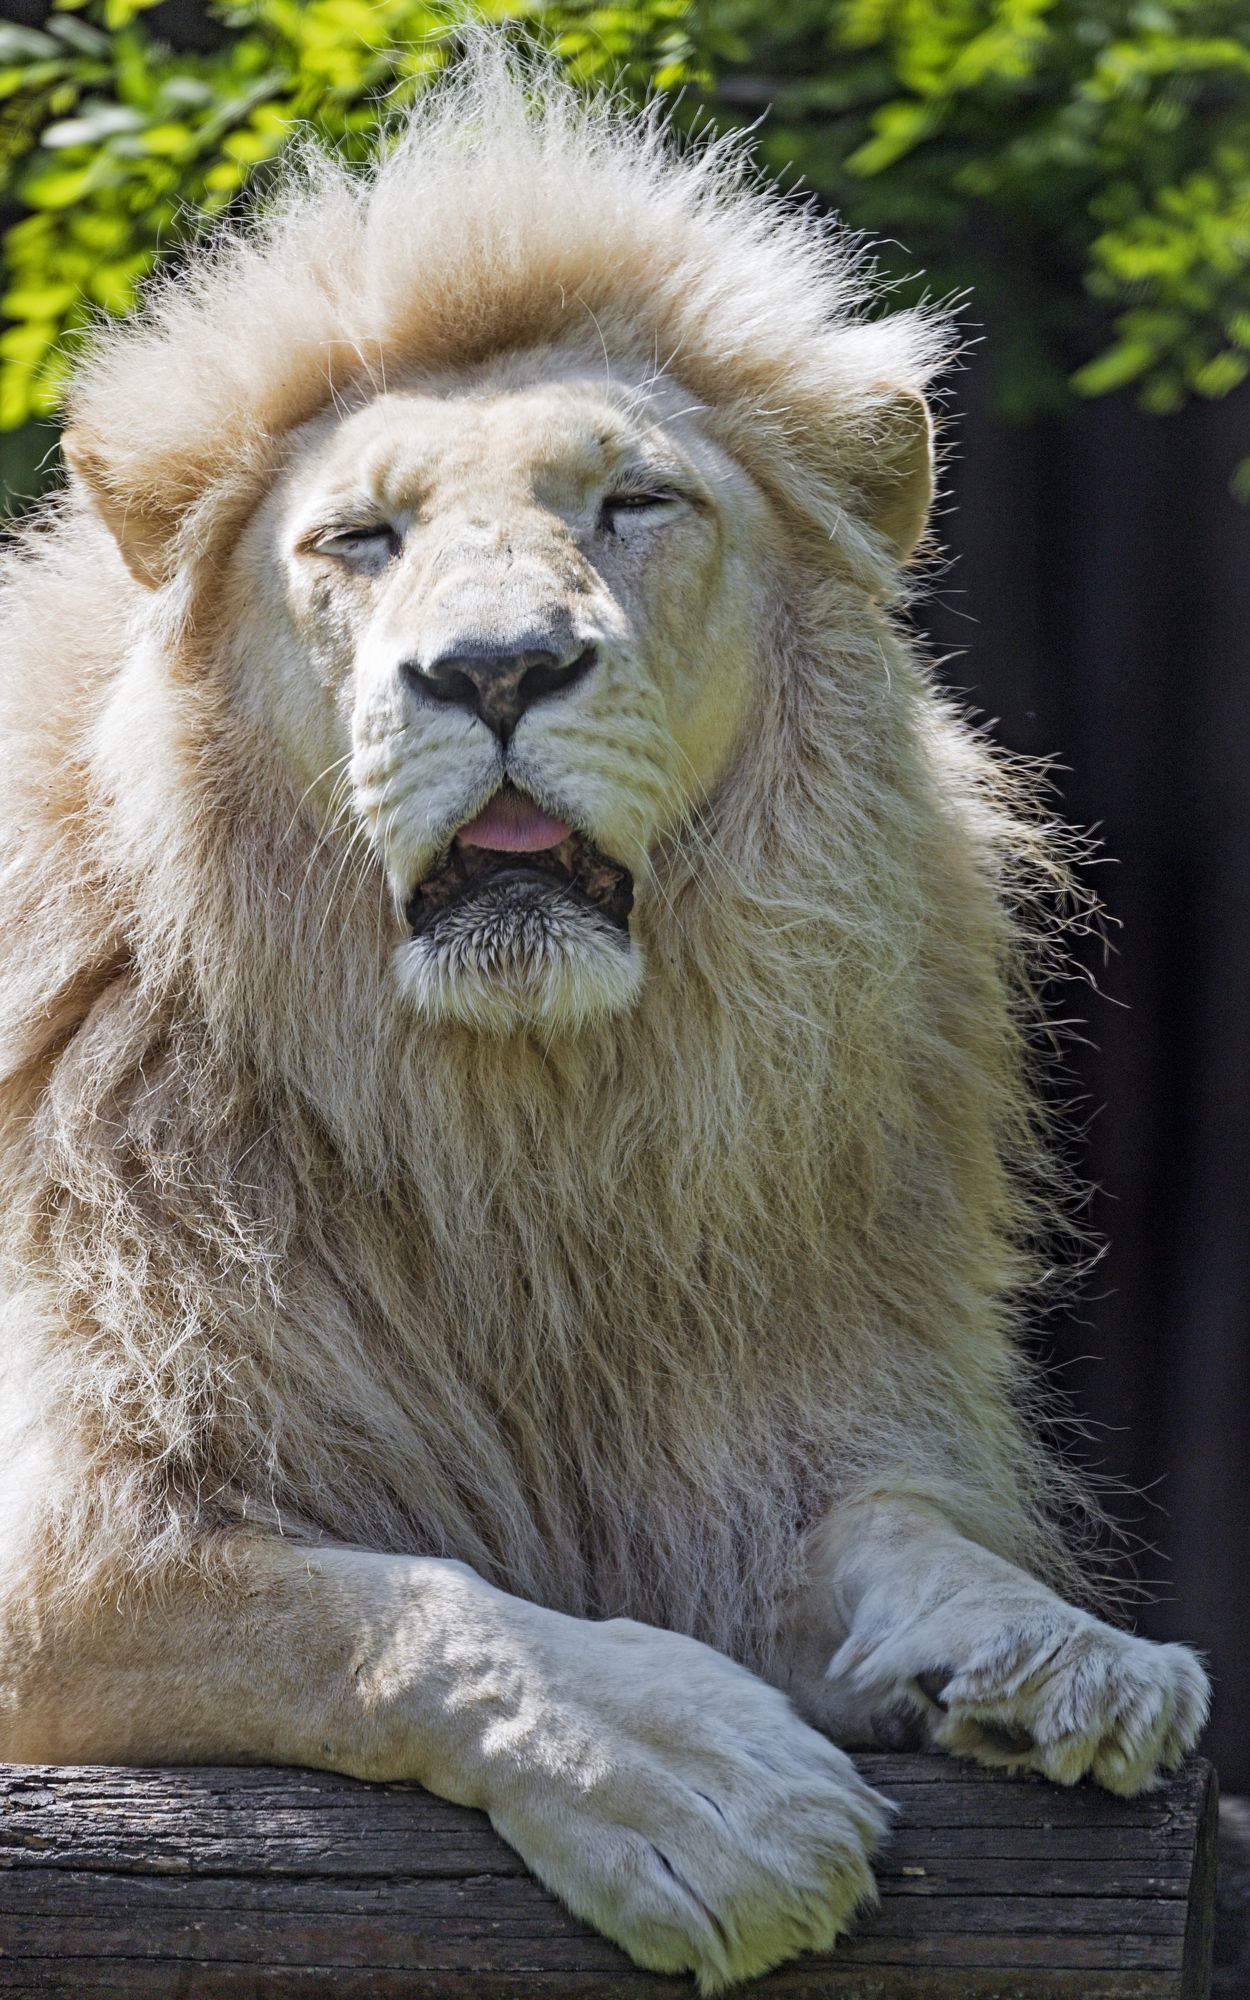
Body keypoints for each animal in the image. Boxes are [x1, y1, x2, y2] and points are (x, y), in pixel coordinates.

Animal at [0, 39, 1208, 1992]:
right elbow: (384, 1604)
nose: (495, 670)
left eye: (635, 506)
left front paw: (1056, 1655)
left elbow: (895, 1528)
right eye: (360, 538)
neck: (519, 1119)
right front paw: (700, 1786)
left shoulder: (726, 1450)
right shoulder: (75, 1536)